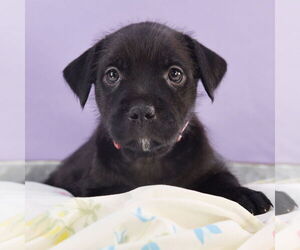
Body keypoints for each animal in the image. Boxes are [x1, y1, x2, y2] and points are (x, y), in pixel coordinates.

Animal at [46, 22, 272, 215]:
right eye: (112, 75)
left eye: (175, 74)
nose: (141, 111)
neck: (149, 158)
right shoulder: (93, 188)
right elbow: (122, 190)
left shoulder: (211, 169)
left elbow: (224, 180)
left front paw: (245, 194)